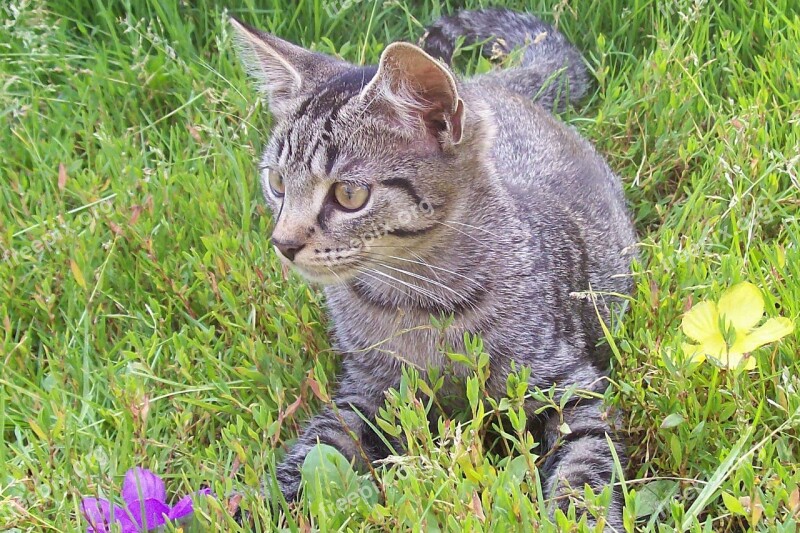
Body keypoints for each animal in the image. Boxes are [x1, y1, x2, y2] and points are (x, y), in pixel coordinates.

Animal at [230, 6, 636, 524]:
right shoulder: (366, 393)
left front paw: (577, 517)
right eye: (277, 183)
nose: (283, 242)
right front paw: (259, 509)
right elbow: (316, 453)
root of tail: (486, 83)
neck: (415, 299)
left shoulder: (571, 384)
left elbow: (586, 468)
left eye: (349, 194)